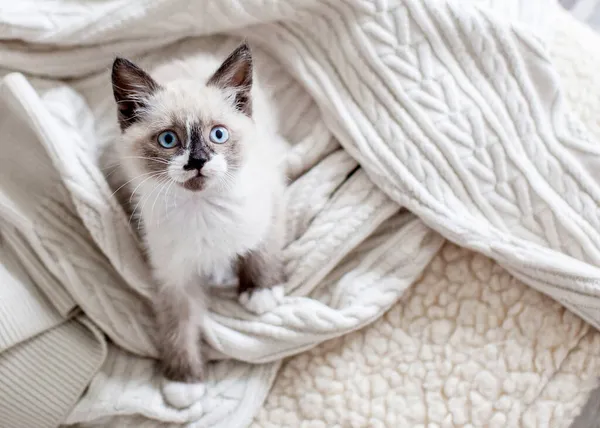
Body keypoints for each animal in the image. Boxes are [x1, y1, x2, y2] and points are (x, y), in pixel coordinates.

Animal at [110, 44, 288, 384]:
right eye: (168, 140)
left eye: (218, 135)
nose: (197, 162)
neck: (202, 206)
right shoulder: (173, 274)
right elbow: (178, 324)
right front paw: (183, 381)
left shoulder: (270, 201)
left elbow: (261, 248)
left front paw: (260, 292)